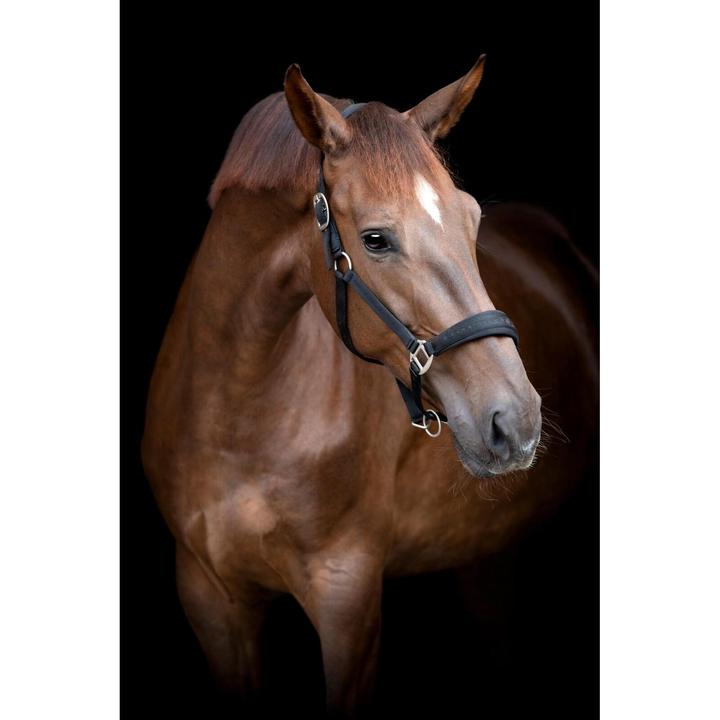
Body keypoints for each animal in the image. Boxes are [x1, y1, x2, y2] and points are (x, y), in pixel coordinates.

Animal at [141, 56, 598, 715]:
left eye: (472, 219)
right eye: (376, 239)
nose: (515, 421)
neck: (238, 417)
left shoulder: (347, 600)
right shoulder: (211, 599)